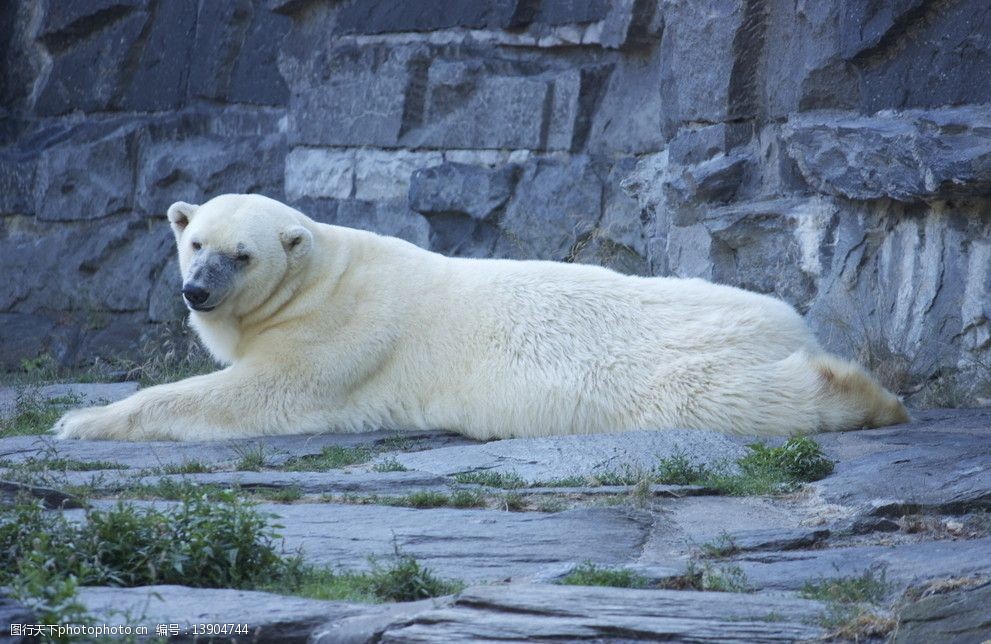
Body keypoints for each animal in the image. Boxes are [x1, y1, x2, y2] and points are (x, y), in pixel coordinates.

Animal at [52, 194, 908, 440]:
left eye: (243, 254)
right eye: (193, 241)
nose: (196, 291)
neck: (325, 276)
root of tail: (788, 320)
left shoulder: (340, 343)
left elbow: (256, 394)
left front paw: (79, 419)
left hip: (675, 363)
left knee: (731, 398)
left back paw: (863, 391)